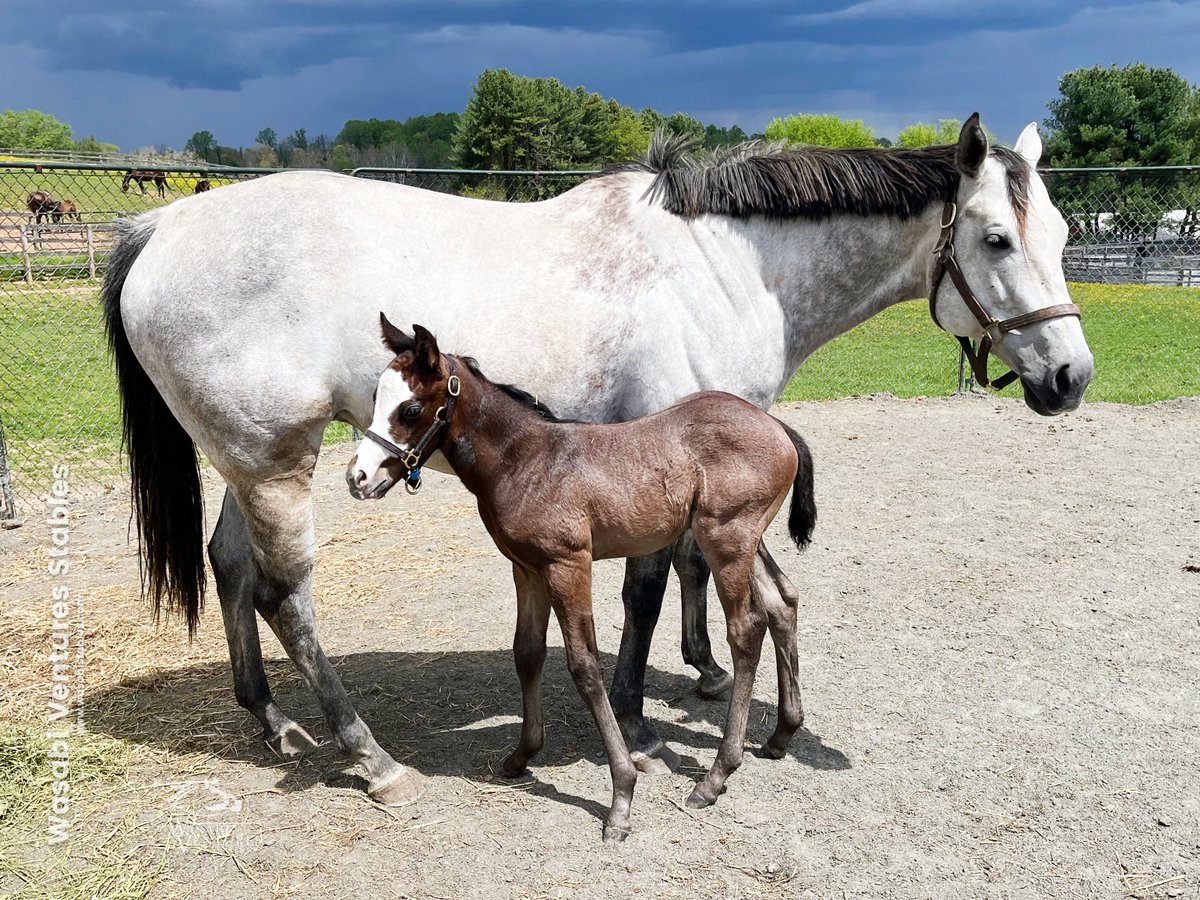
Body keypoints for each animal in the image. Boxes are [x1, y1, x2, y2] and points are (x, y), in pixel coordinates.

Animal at [348, 319, 816, 844]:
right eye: (374, 396)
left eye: (410, 409)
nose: (358, 476)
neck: (524, 460)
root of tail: (777, 427)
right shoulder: (526, 567)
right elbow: (527, 653)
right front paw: (521, 755)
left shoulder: (567, 563)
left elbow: (585, 667)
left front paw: (621, 799)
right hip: (744, 540)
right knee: (782, 601)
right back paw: (780, 735)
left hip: (726, 540)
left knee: (746, 631)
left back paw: (715, 778)